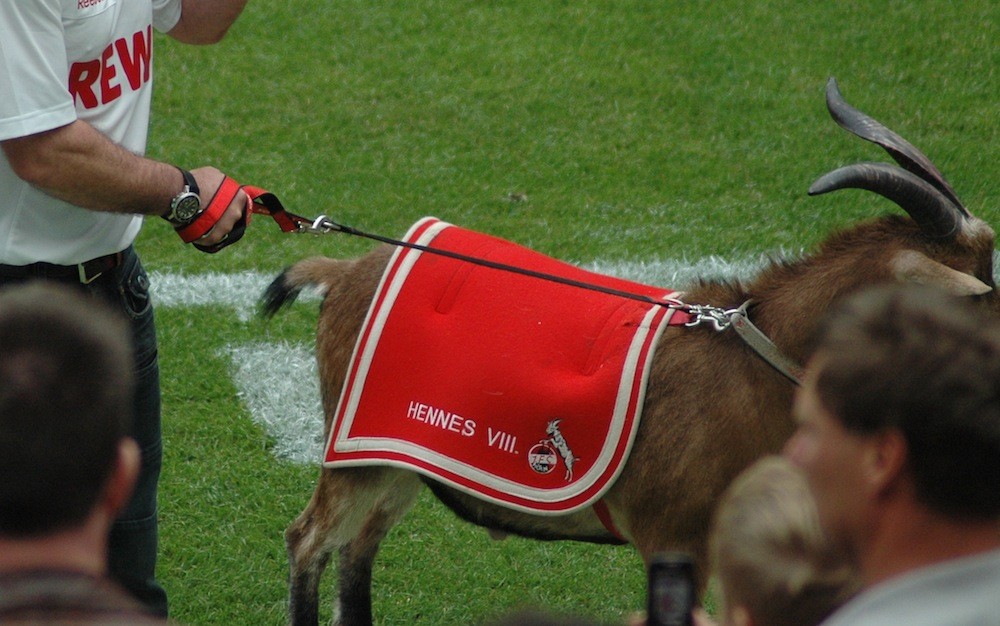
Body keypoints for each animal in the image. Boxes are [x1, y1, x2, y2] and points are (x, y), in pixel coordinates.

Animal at [262, 79, 996, 624]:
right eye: (981, 292)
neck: (746, 362)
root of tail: (342, 272)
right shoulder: (675, 538)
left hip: (398, 460)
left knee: (357, 551)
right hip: (357, 459)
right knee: (309, 541)